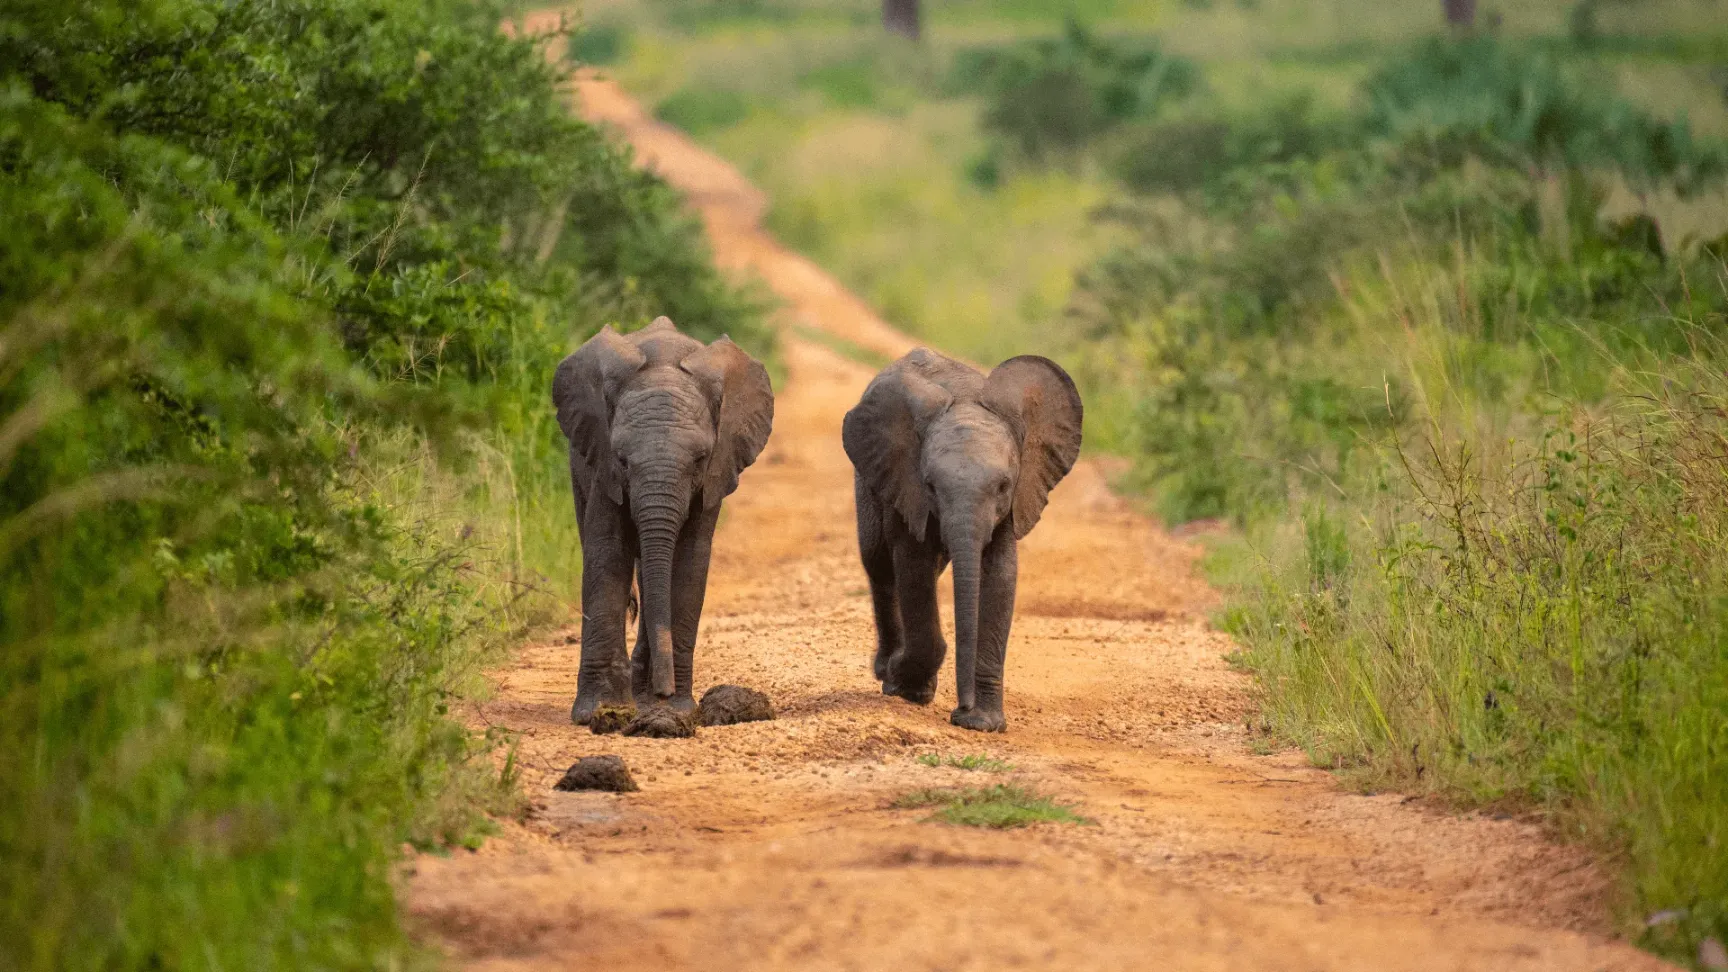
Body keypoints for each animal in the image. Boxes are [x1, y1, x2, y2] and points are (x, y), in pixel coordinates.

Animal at [552, 316, 774, 725]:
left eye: (700, 459)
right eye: (622, 459)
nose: (664, 691)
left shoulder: (716, 470)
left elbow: (688, 562)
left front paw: (675, 709)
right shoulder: (603, 463)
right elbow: (608, 554)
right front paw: (599, 712)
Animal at [842, 348, 1083, 732]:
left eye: (1003, 486)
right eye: (930, 486)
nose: (962, 709)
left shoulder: (1013, 503)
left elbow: (999, 576)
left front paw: (983, 724)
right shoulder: (907, 487)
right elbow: (913, 565)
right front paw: (908, 686)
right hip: (869, 480)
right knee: (878, 563)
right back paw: (889, 672)